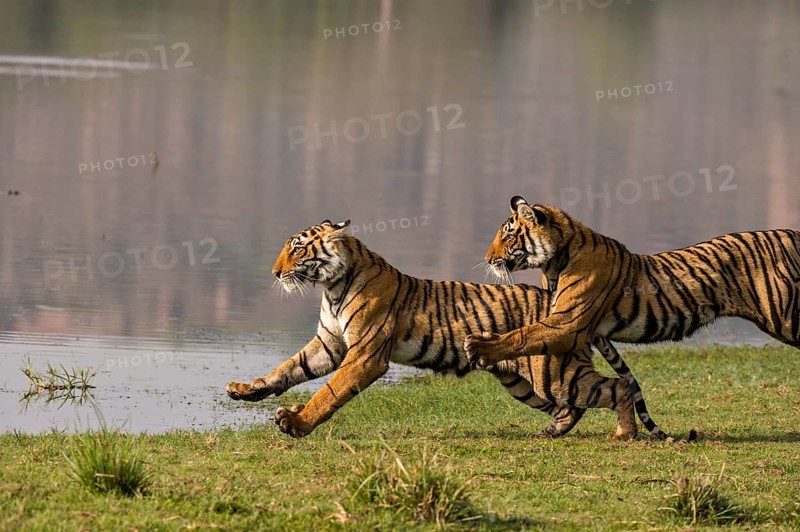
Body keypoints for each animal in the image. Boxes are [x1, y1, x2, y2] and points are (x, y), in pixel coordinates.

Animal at [225, 219, 682, 441]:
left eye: (297, 249)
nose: (274, 272)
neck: (332, 286)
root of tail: (568, 308)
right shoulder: (329, 343)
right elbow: (288, 369)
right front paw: (248, 390)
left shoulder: (364, 355)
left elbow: (329, 392)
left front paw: (297, 424)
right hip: (523, 381)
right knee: (574, 407)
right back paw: (551, 432)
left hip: (554, 373)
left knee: (614, 388)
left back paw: (624, 434)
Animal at [465, 195, 800, 374]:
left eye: (508, 236)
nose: (487, 258)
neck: (553, 260)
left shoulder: (567, 323)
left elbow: (521, 335)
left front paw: (481, 346)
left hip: (786, 316)